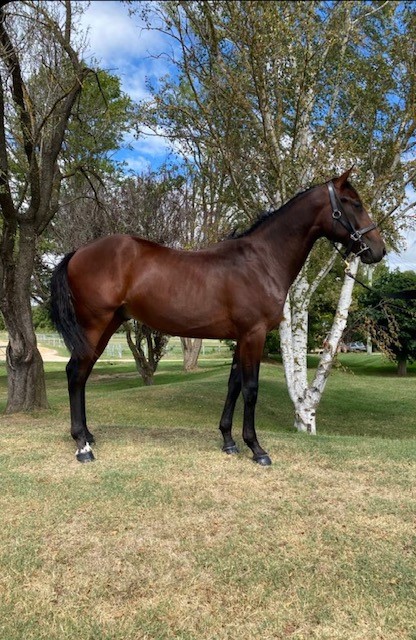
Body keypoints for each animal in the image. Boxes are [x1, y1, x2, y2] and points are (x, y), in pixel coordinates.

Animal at [50, 168, 386, 464]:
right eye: (354, 203)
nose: (378, 250)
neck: (262, 260)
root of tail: (79, 252)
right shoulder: (254, 334)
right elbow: (251, 389)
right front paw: (257, 449)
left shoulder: (241, 337)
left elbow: (233, 385)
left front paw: (229, 441)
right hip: (94, 325)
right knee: (75, 373)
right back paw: (82, 447)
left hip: (107, 327)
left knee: (82, 374)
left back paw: (88, 436)